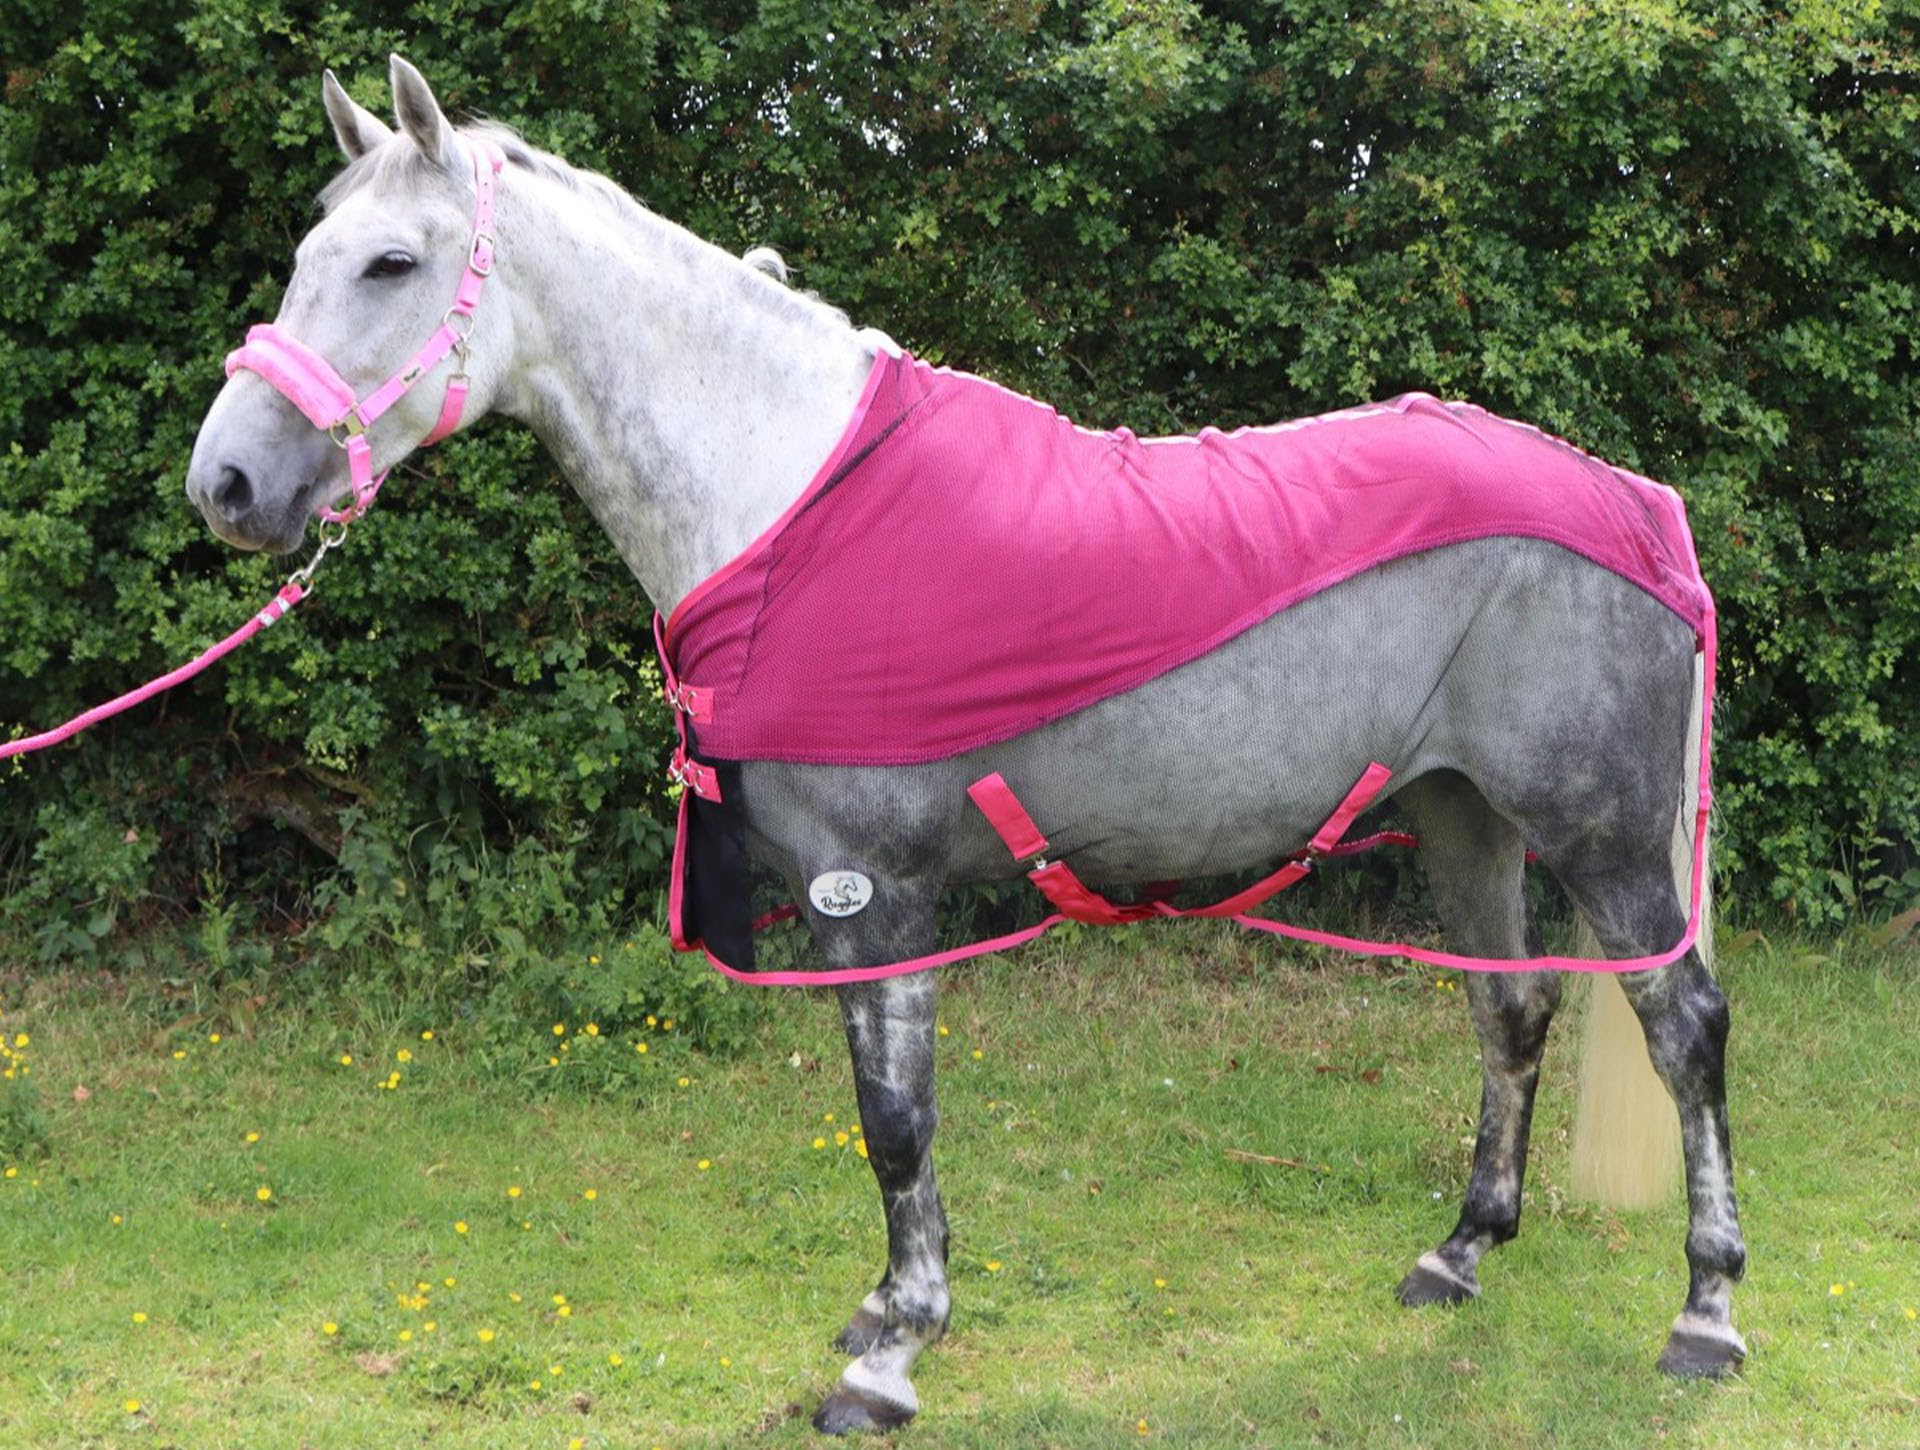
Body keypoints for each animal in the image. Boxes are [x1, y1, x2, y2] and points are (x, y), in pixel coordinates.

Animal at [185, 58, 1747, 1434]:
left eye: (390, 264)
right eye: (309, 252)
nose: (228, 481)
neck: (793, 501)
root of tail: (1637, 505)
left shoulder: (876, 887)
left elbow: (895, 1118)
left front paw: (891, 1358)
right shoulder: (842, 903)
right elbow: (883, 1118)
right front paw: (889, 1309)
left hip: (1601, 835)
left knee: (1684, 1029)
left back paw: (1708, 1313)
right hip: (1462, 818)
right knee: (1512, 1010)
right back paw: (1460, 1251)